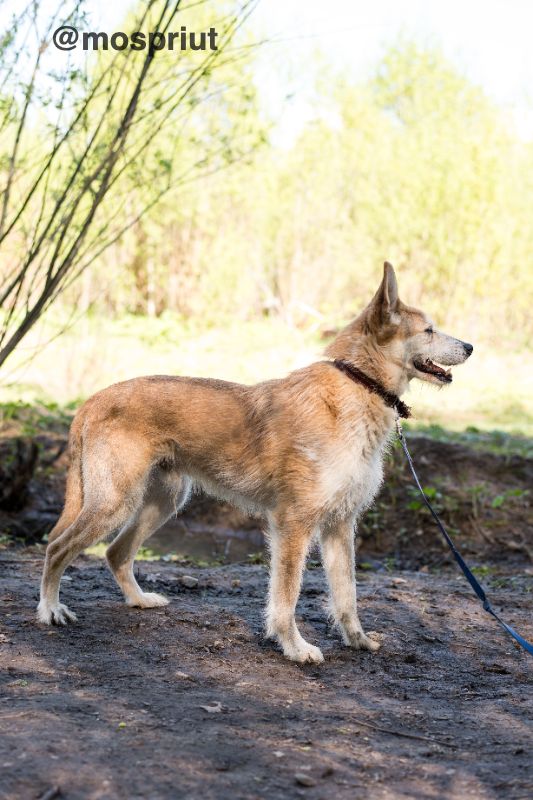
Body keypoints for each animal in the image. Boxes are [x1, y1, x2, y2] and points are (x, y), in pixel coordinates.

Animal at [37, 262, 472, 664]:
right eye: (429, 330)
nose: (470, 346)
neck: (357, 385)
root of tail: (93, 400)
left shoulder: (339, 525)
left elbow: (346, 594)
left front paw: (357, 640)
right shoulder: (293, 524)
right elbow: (287, 595)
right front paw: (294, 647)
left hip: (162, 502)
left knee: (115, 553)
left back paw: (139, 600)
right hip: (113, 502)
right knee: (57, 547)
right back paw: (50, 609)